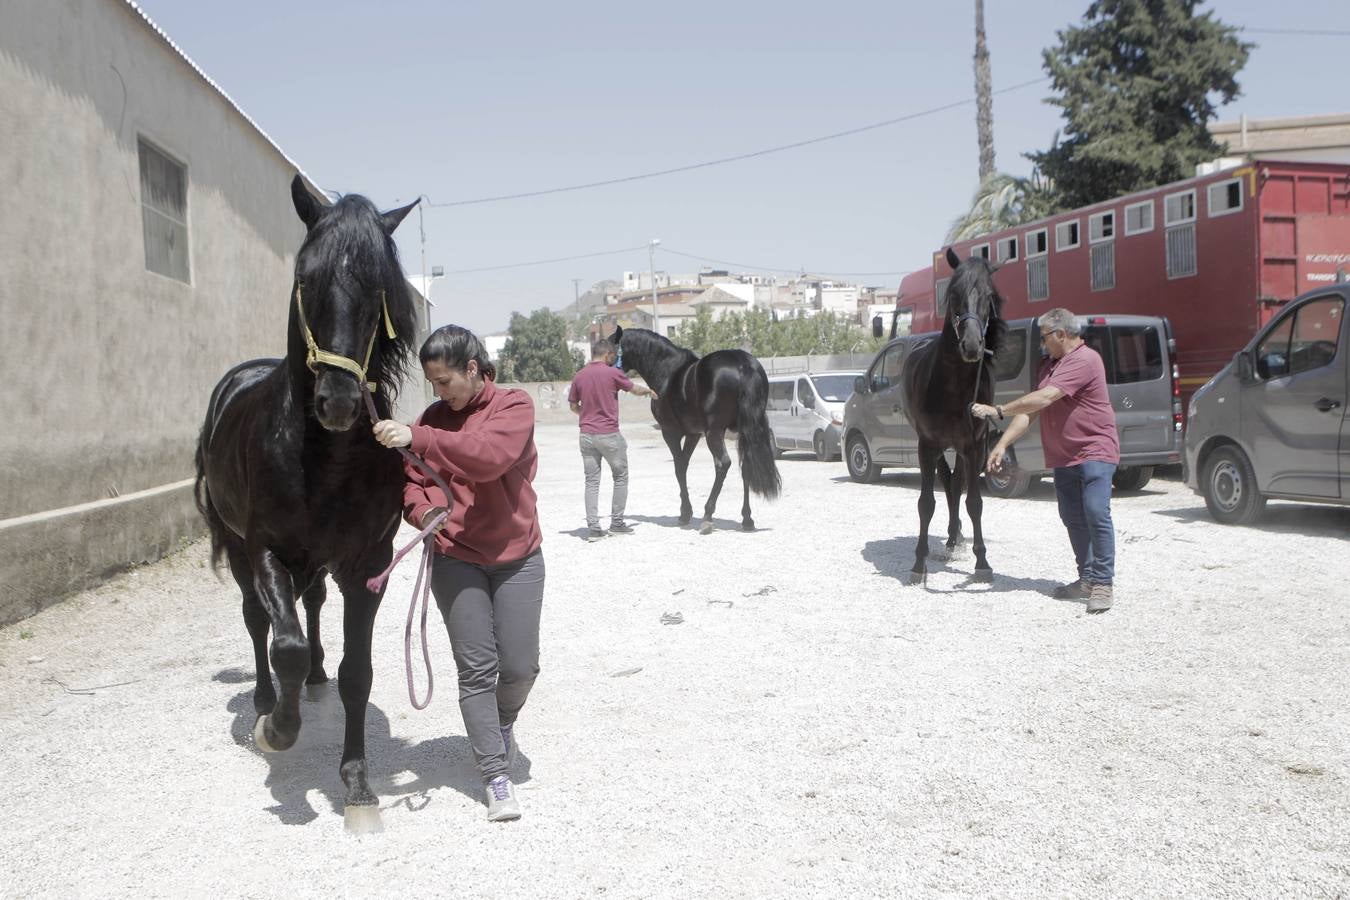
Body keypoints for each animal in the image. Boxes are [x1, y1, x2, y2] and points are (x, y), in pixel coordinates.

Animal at [194, 175, 415, 831]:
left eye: (377, 287)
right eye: (304, 276)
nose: (338, 401)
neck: (326, 458)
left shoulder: (368, 563)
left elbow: (356, 672)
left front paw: (358, 785)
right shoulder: (267, 549)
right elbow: (283, 643)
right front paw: (278, 730)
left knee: (312, 607)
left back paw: (314, 679)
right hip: (238, 548)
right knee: (258, 620)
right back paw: (267, 701)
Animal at [612, 325, 783, 531]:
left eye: (609, 347)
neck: (667, 372)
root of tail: (743, 365)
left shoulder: (670, 432)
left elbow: (679, 467)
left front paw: (685, 513)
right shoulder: (693, 434)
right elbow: (684, 464)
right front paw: (686, 511)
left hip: (714, 432)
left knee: (723, 464)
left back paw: (708, 516)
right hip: (744, 430)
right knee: (746, 466)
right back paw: (747, 519)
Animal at [901, 246, 1009, 585]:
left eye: (989, 296)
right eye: (953, 294)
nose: (972, 345)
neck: (953, 386)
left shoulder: (974, 445)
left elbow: (974, 502)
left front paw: (982, 562)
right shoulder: (927, 444)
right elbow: (926, 503)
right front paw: (918, 563)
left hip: (962, 448)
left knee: (957, 485)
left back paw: (954, 538)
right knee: (948, 483)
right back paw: (949, 539)